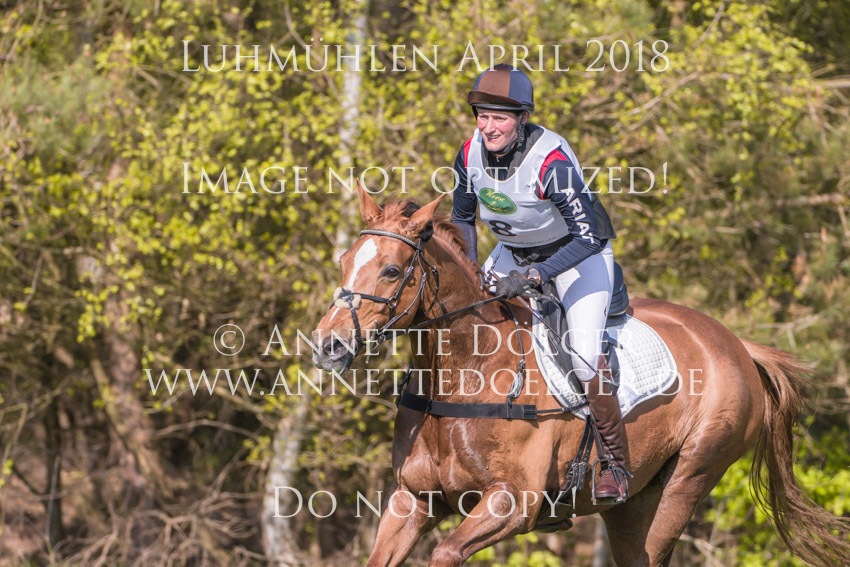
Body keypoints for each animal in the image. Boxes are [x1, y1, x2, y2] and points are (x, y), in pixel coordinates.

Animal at [311, 186, 850, 566]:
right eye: (343, 261)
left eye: (391, 270)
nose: (327, 345)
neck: (467, 373)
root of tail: (736, 344)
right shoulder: (413, 500)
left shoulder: (512, 503)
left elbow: (445, 552)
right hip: (631, 506)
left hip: (687, 480)